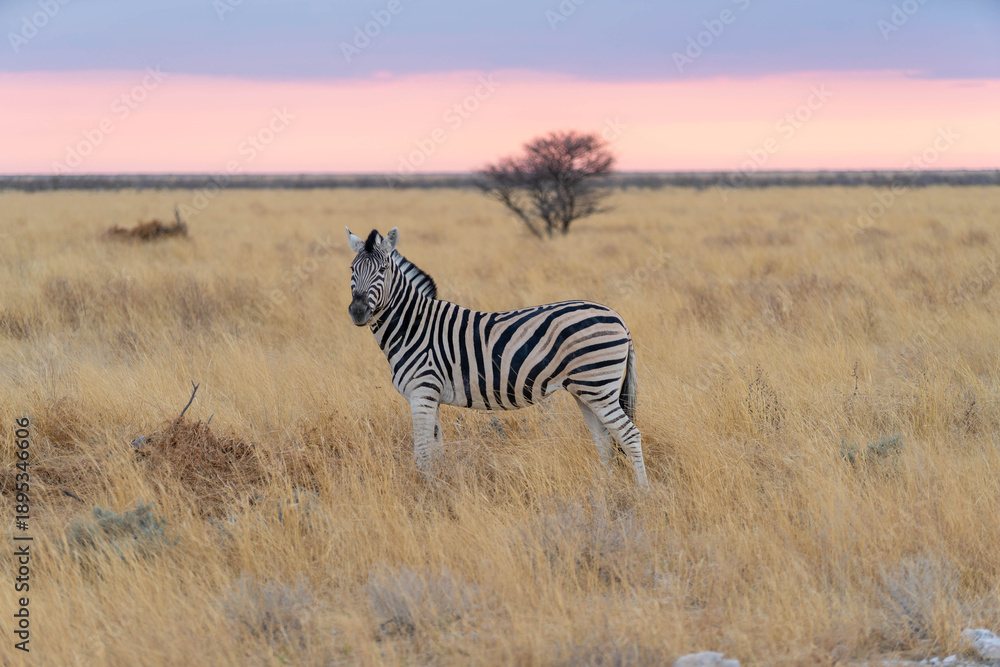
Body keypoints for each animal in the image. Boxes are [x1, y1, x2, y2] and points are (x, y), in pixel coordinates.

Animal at [346, 227, 648, 488]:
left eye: (383, 270)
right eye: (351, 269)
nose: (358, 311)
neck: (413, 327)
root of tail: (618, 317)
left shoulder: (422, 393)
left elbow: (422, 452)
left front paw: (426, 492)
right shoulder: (432, 398)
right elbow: (436, 448)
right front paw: (440, 486)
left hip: (598, 385)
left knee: (628, 434)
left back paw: (643, 494)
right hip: (585, 391)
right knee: (605, 440)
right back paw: (605, 490)